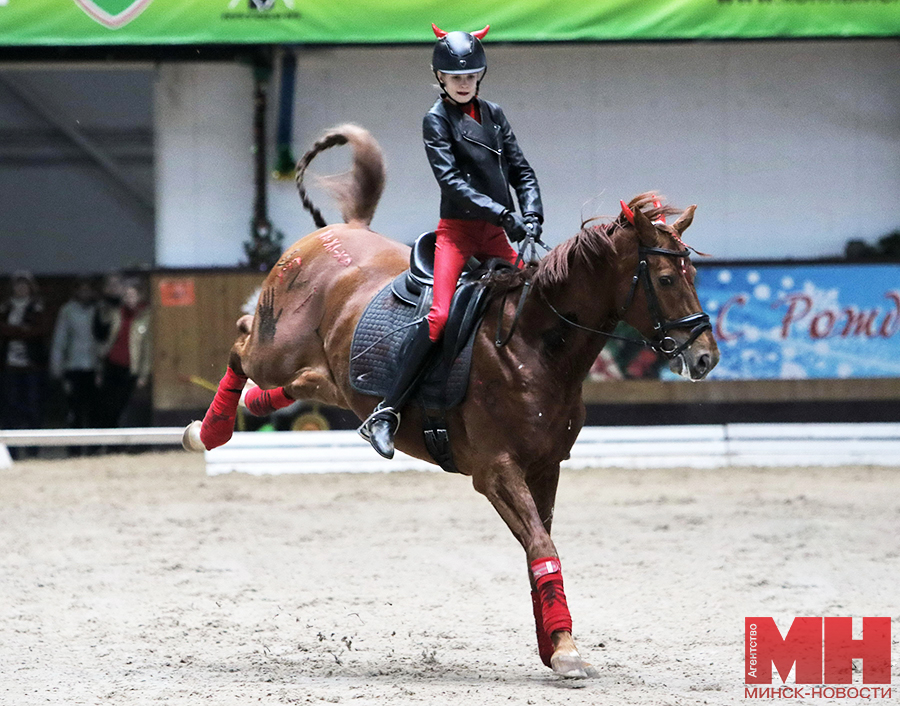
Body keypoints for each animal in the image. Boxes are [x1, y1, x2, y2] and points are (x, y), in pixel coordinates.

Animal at [183, 125, 716, 676]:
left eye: (694, 276)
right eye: (666, 279)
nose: (704, 357)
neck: (532, 347)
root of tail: (336, 234)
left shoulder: (546, 467)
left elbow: (539, 548)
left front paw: (553, 643)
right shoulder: (496, 470)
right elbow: (541, 545)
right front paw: (565, 648)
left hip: (331, 375)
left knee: (304, 379)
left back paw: (257, 407)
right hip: (276, 346)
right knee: (242, 341)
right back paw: (208, 431)